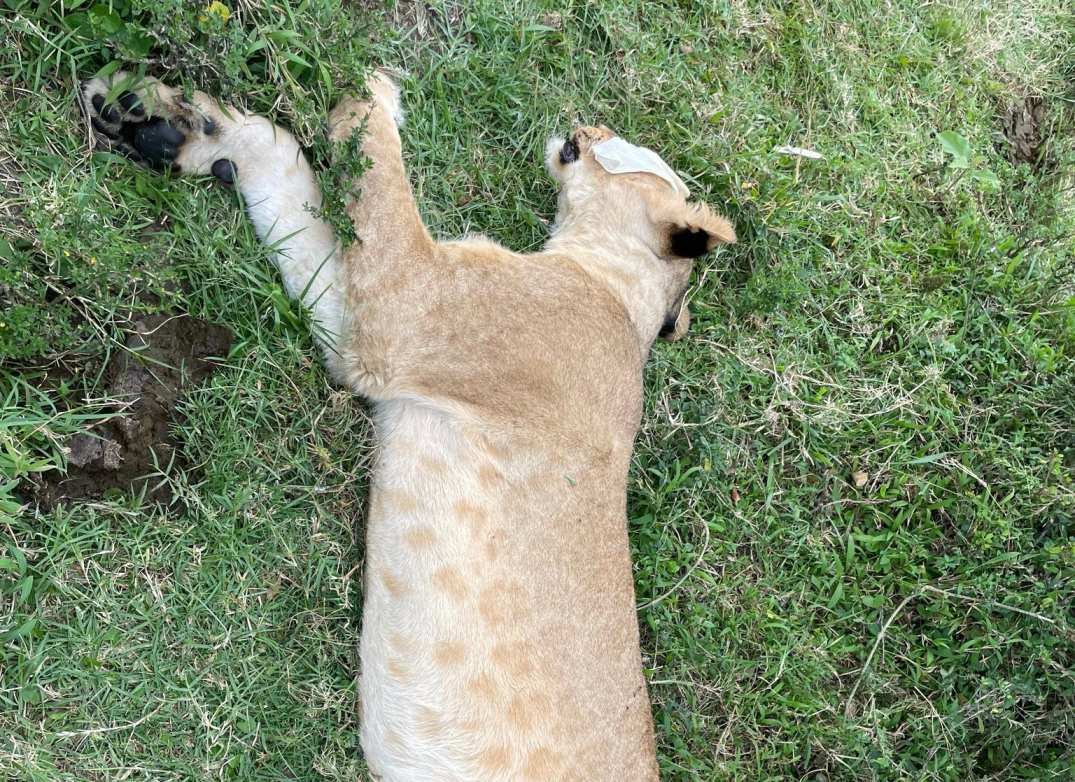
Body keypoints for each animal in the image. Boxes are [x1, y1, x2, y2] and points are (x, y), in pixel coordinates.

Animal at [80, 68, 734, 781]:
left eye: (622, 146)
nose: (586, 126)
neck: (618, 294)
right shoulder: (354, 325)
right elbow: (294, 187)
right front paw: (178, 124)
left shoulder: (408, 310)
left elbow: (383, 187)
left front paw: (370, 90)